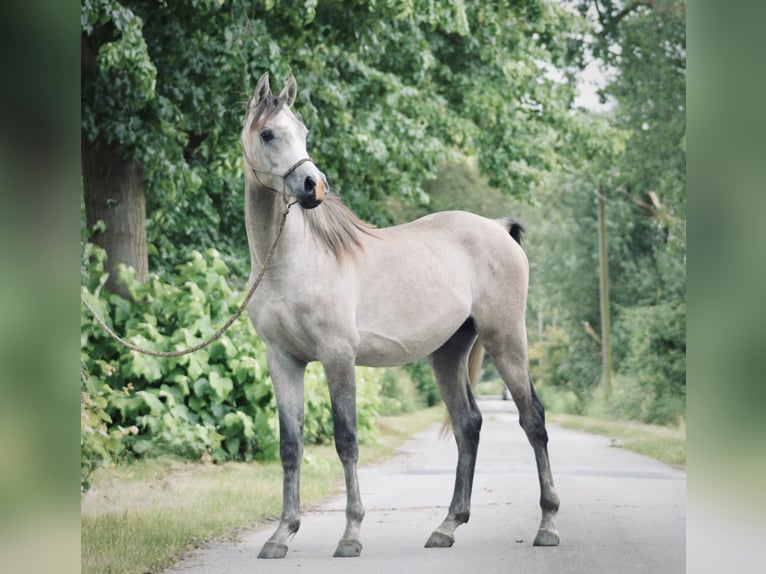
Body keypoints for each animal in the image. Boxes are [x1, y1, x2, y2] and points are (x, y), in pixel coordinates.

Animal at [243, 74, 560, 560]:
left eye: (303, 131)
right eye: (267, 133)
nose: (314, 186)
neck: (295, 262)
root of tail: (497, 228)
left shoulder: (338, 357)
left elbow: (347, 440)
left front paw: (351, 535)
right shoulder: (283, 361)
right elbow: (290, 446)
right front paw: (281, 535)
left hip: (507, 341)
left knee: (533, 421)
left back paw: (547, 524)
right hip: (448, 354)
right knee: (469, 425)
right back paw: (447, 527)